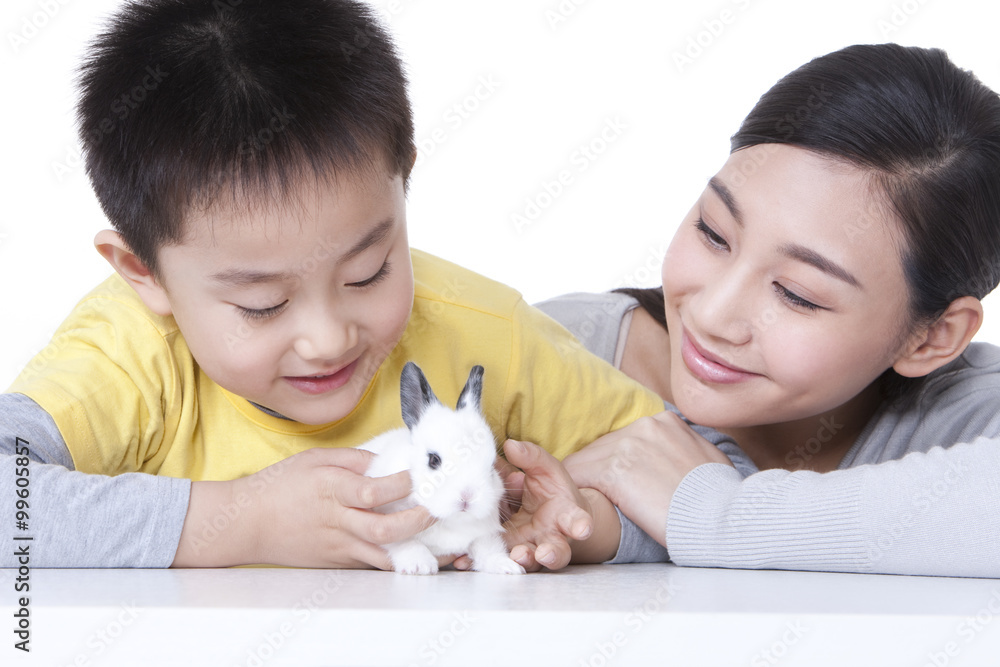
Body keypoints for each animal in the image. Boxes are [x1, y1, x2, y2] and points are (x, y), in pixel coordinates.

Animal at [358, 362, 524, 576]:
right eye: (434, 460)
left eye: (491, 466)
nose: (467, 497)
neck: (450, 521)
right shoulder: (388, 522)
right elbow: (405, 542)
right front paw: (420, 566)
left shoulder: (483, 534)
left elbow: (488, 549)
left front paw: (507, 567)